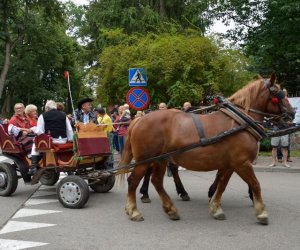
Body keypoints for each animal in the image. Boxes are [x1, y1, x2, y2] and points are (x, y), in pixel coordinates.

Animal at [119, 74, 292, 225]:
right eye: (278, 93)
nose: (292, 113)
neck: (240, 122)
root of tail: (139, 119)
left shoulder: (230, 164)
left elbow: (222, 185)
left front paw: (215, 208)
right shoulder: (242, 163)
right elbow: (255, 184)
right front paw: (261, 212)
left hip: (160, 159)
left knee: (156, 181)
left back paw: (170, 209)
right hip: (144, 160)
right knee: (133, 181)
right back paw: (134, 211)